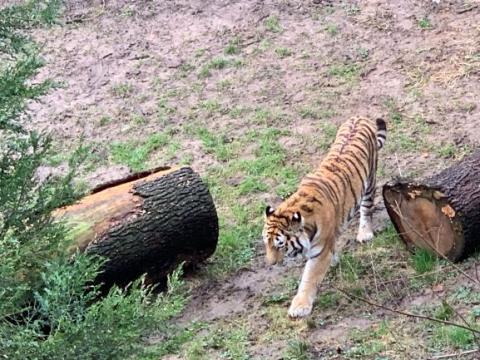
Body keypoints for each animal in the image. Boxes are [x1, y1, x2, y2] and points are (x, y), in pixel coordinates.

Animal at [262, 116, 386, 316]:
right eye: (266, 243)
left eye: (280, 245)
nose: (271, 264)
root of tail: (359, 117)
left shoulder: (319, 253)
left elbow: (309, 278)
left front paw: (299, 307)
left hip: (370, 181)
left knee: (366, 208)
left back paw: (365, 233)